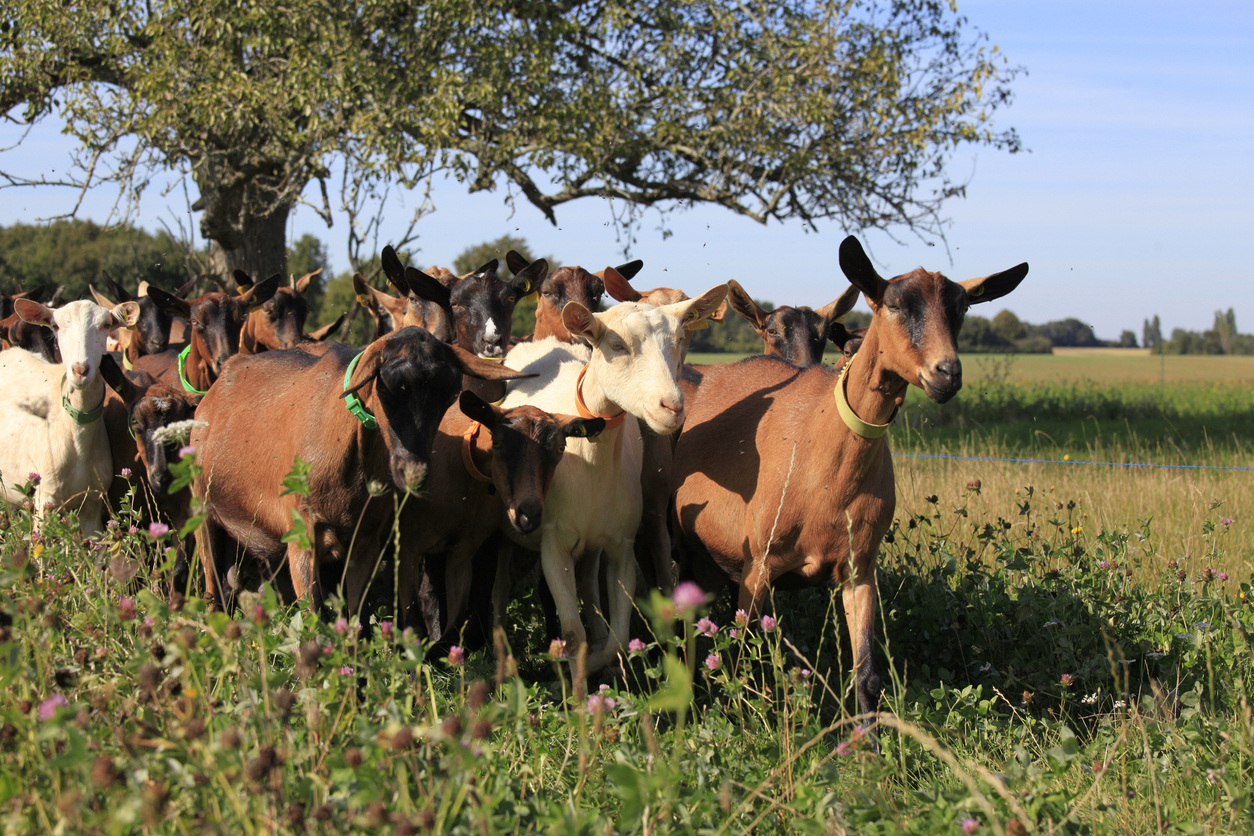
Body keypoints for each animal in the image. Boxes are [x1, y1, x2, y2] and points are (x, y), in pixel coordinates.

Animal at [190, 325, 534, 614]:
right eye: (389, 387)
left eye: (449, 394)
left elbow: (354, 618)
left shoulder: (365, 543)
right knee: (212, 589)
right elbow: (313, 619)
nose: (413, 472)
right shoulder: (301, 538)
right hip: (204, 515)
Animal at [496, 288, 727, 671]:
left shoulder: (621, 546)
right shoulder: (553, 545)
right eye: (616, 345)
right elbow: (573, 635)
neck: (592, 457)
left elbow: (617, 637)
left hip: (593, 543)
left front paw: (598, 659)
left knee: (590, 587)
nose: (672, 407)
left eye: (679, 340)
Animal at [672, 236, 1023, 731]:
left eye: (962, 308)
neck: (824, 473)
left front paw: (868, 745)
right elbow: (746, 657)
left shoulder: (859, 568)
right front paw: (743, 726)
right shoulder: (757, 566)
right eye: (893, 304)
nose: (947, 373)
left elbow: (867, 673)